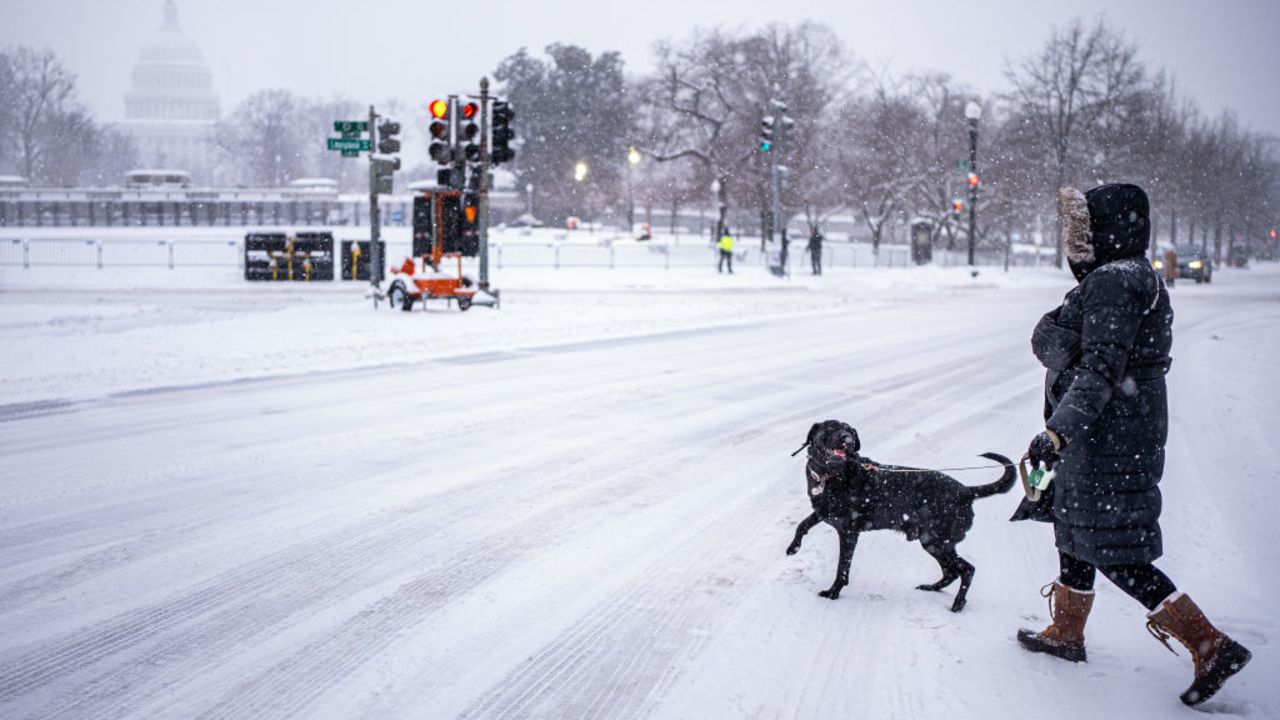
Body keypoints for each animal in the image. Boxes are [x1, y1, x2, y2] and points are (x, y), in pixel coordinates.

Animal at [783, 417, 1013, 607]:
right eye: (831, 427)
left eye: (850, 431)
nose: (847, 439)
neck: (832, 475)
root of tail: (966, 491)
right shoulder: (822, 511)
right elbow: (803, 524)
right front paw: (793, 547)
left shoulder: (849, 532)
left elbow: (842, 567)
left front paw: (833, 592)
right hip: (933, 542)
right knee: (951, 571)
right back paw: (932, 588)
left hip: (936, 540)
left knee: (966, 569)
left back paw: (958, 603)